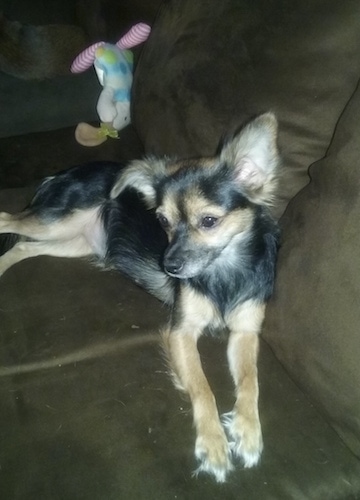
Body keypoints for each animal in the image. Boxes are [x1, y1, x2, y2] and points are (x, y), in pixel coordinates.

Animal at [0, 112, 282, 480]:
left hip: (74, 240)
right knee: (6, 219)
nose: (170, 266)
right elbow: (202, 388)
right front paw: (214, 446)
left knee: (22, 247)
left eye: (209, 221)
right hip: (56, 223)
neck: (224, 270)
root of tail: (68, 172)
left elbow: (251, 381)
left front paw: (248, 432)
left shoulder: (245, 332)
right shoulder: (181, 333)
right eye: (162, 220)